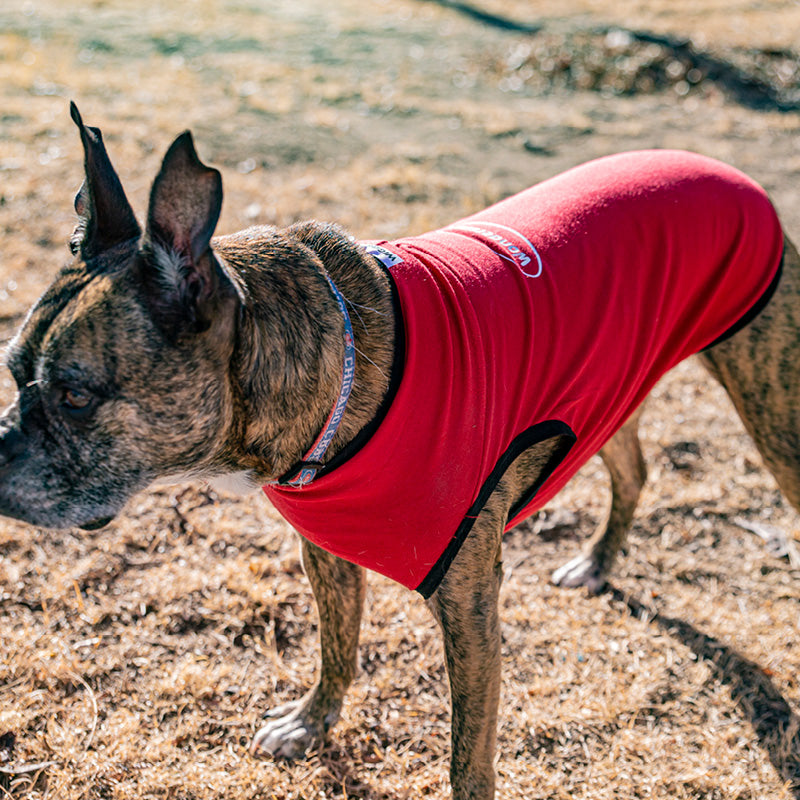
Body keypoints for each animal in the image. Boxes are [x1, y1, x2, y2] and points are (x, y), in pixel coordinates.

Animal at [1, 106, 800, 800]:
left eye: (75, 395)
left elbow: (467, 757)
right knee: (632, 470)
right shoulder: (327, 557)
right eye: (12, 371)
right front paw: (311, 722)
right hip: (614, 387)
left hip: (771, 410)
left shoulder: (471, 606)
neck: (342, 373)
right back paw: (599, 562)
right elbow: (339, 648)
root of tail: (719, 166)